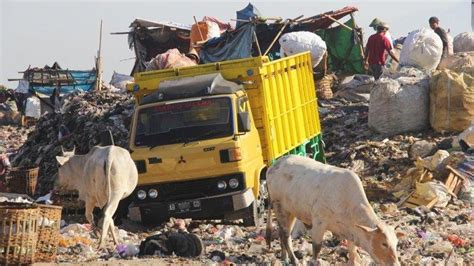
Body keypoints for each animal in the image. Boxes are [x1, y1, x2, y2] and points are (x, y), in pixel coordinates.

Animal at [264, 155, 402, 264]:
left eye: (396, 243)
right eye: (384, 243)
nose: (395, 264)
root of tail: (273, 167)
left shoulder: (350, 231)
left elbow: (352, 252)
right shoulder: (319, 222)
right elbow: (316, 248)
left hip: (290, 212)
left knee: (281, 233)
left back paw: (284, 258)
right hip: (280, 208)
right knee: (286, 236)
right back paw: (294, 260)